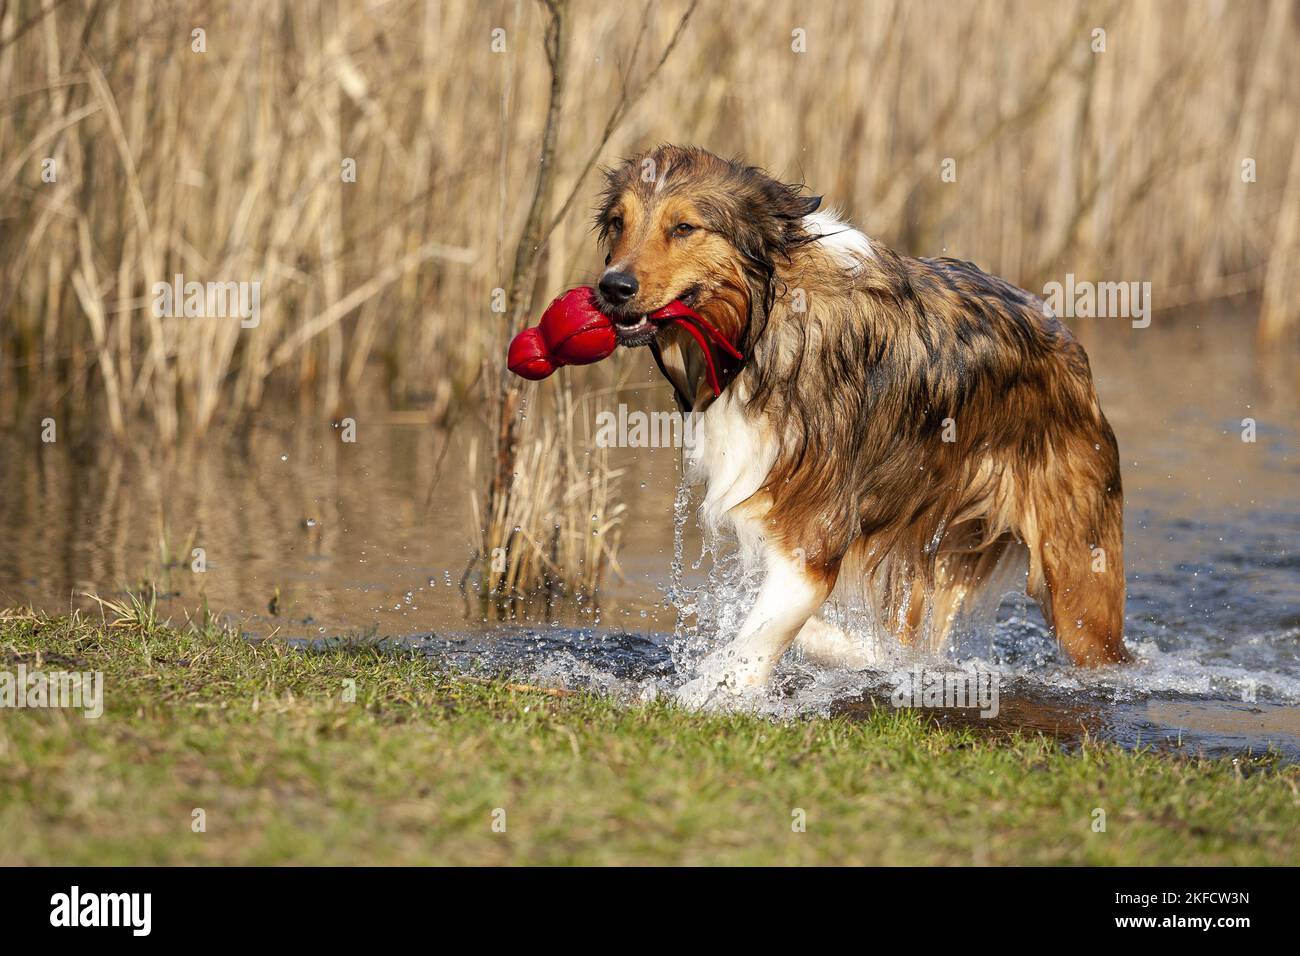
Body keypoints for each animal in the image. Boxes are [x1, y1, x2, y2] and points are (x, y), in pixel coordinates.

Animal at [592, 143, 1128, 702]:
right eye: (618, 222)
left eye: (684, 227)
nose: (613, 287)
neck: (764, 323)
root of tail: (1063, 334)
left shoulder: (813, 531)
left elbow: (759, 634)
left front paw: (709, 693)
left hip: (1080, 578)